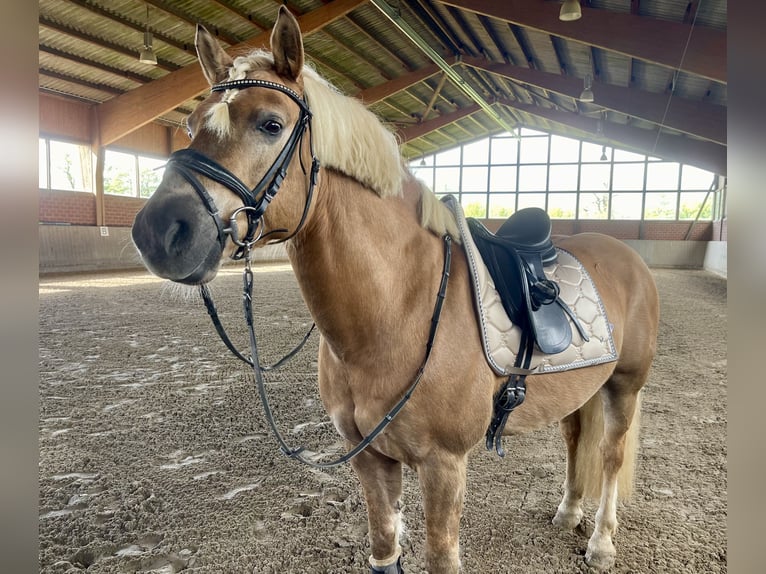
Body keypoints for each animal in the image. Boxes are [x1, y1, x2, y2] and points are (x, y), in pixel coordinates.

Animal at [130, 6, 660, 572]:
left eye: (271, 124)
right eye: (189, 125)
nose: (159, 232)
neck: (398, 311)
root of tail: (626, 255)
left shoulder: (444, 466)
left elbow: (441, 557)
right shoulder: (369, 458)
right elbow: (386, 548)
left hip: (624, 386)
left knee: (610, 455)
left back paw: (600, 541)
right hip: (585, 390)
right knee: (576, 439)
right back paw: (568, 512)